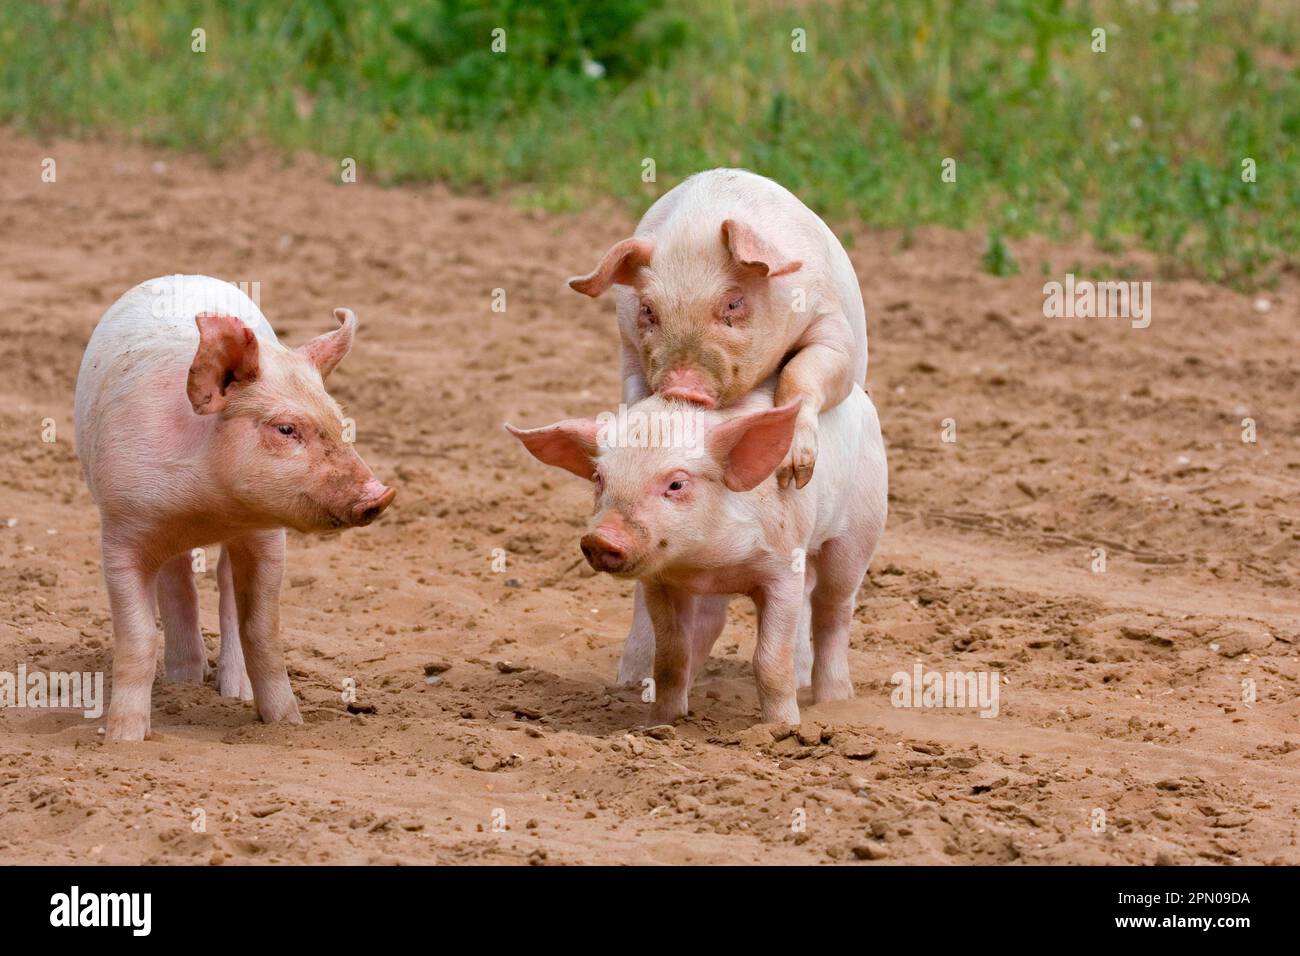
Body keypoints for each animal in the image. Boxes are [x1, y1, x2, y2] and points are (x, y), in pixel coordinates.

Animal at [74, 275, 395, 742]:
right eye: (286, 428)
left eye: (340, 423)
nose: (380, 494)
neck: (206, 509)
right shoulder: (121, 528)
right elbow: (137, 637)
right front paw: (123, 740)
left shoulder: (266, 536)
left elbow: (262, 631)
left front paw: (287, 724)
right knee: (178, 578)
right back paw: (184, 682)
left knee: (223, 587)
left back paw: (232, 691)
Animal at [507, 380, 887, 725]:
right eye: (600, 478)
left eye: (676, 484)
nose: (600, 538)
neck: (709, 563)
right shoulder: (660, 583)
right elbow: (670, 656)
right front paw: (660, 723)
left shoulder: (783, 566)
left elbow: (769, 658)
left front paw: (782, 728)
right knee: (709, 625)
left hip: (859, 529)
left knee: (833, 607)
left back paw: (833, 701)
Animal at [568, 168, 869, 684]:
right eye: (648, 309)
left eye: (733, 303)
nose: (684, 385)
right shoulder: (628, 344)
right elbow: (637, 396)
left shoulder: (832, 325)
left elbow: (803, 372)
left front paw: (795, 471)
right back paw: (632, 679)